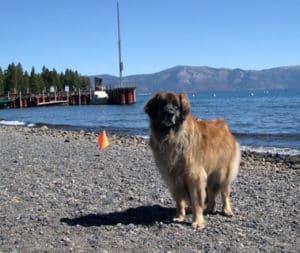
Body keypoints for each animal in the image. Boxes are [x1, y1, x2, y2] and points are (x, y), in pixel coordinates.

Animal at [144, 92, 240, 228]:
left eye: (176, 105)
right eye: (163, 104)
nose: (170, 113)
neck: (172, 136)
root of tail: (225, 126)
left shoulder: (194, 176)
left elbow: (196, 201)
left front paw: (198, 221)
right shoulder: (173, 178)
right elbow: (179, 200)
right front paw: (179, 217)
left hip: (222, 172)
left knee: (224, 192)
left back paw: (227, 210)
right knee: (211, 191)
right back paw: (209, 209)